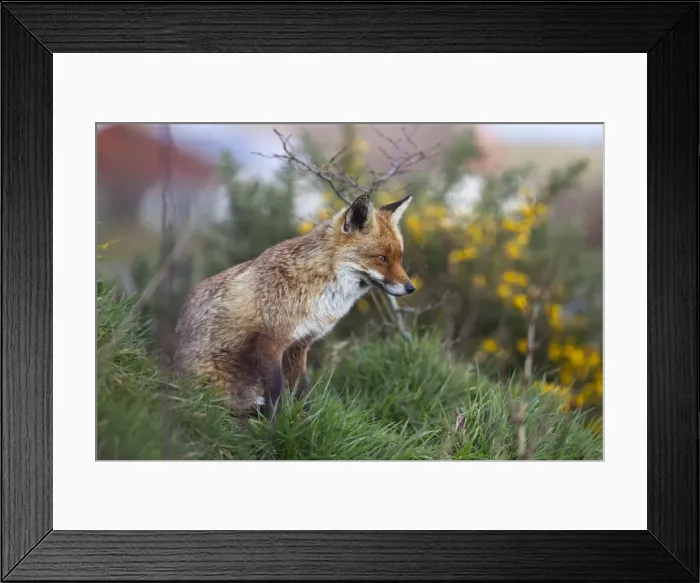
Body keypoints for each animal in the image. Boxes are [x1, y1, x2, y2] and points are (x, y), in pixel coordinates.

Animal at [171, 193, 415, 420]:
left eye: (400, 258)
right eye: (382, 258)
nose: (410, 288)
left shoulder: (300, 343)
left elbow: (301, 391)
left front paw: (304, 421)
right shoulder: (271, 340)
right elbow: (276, 392)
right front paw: (273, 428)